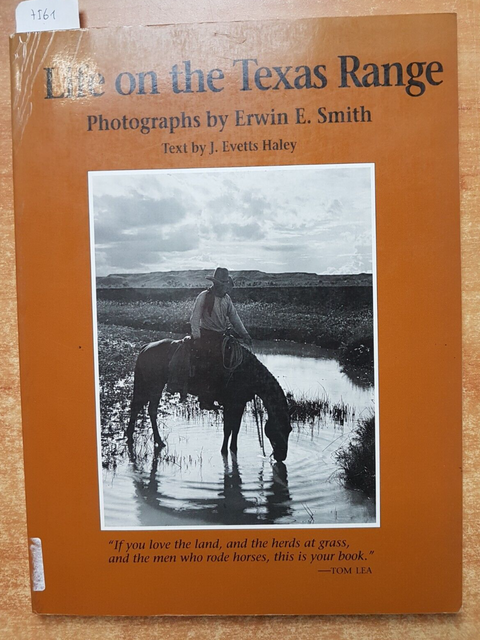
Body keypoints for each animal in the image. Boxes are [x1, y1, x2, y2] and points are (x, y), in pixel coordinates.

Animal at [126, 340, 292, 460]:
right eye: (279, 429)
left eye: (289, 429)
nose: (282, 457)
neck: (249, 374)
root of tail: (145, 348)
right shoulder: (231, 405)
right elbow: (227, 429)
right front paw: (224, 451)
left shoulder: (239, 405)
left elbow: (235, 429)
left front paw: (233, 449)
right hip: (153, 386)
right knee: (146, 409)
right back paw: (144, 440)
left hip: (151, 386)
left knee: (144, 409)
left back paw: (145, 438)